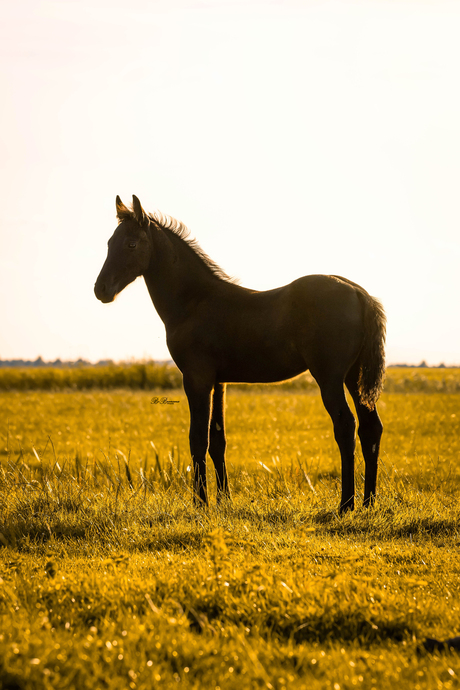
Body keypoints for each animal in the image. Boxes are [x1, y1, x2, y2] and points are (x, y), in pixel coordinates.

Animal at [95, 194, 386, 510]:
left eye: (131, 244)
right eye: (109, 242)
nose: (101, 290)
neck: (194, 301)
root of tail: (358, 293)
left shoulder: (196, 378)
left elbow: (198, 439)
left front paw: (201, 503)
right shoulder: (219, 382)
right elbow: (217, 439)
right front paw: (223, 500)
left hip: (329, 378)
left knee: (345, 427)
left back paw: (346, 504)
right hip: (354, 377)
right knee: (370, 427)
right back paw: (368, 503)